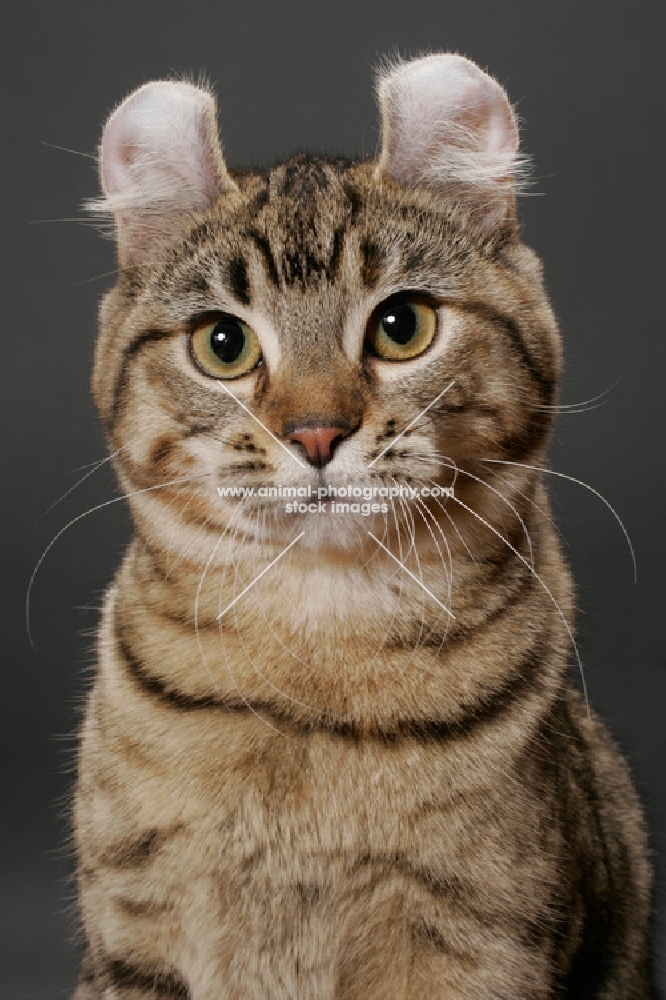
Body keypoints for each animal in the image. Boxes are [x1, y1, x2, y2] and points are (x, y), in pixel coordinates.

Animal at [71, 54, 648, 1000]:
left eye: (401, 325)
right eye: (223, 343)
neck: (315, 649)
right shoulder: (131, 931)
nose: (314, 433)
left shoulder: (478, 940)